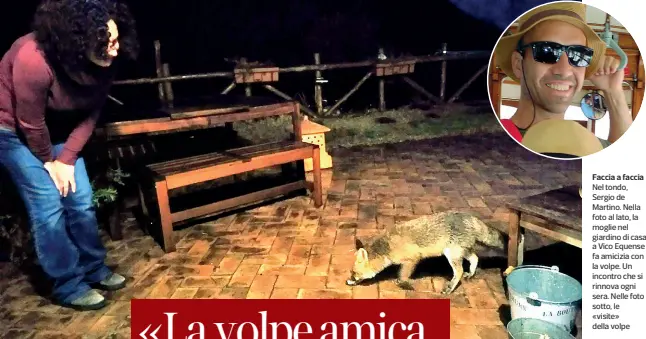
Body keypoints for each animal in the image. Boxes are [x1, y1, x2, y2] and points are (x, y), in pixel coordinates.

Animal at [346, 211, 508, 294]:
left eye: (354, 273)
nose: (347, 282)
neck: (388, 248)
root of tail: (469, 216)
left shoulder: (412, 259)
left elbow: (402, 275)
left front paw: (405, 284)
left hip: (452, 254)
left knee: (459, 271)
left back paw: (450, 287)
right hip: (461, 251)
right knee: (475, 258)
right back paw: (471, 274)